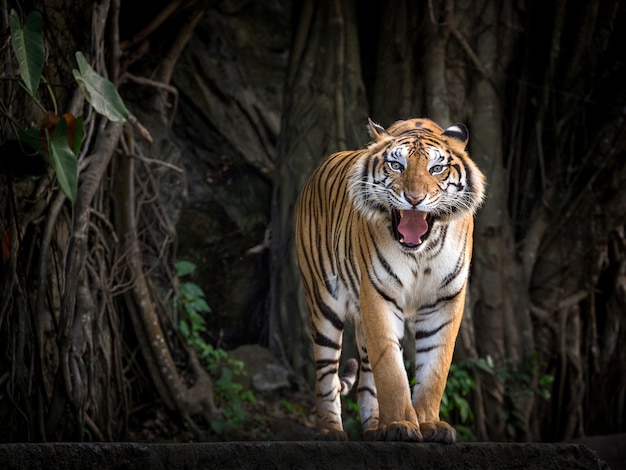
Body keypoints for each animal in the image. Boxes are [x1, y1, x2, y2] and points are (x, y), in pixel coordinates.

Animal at [294, 116, 486, 440]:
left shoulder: (445, 300)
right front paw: (400, 425)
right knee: (326, 375)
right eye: (397, 166)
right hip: (324, 303)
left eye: (436, 168)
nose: (415, 199)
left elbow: (434, 368)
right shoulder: (378, 295)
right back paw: (331, 429)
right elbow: (391, 370)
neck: (422, 251)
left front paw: (429, 424)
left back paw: (374, 428)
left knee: (366, 381)